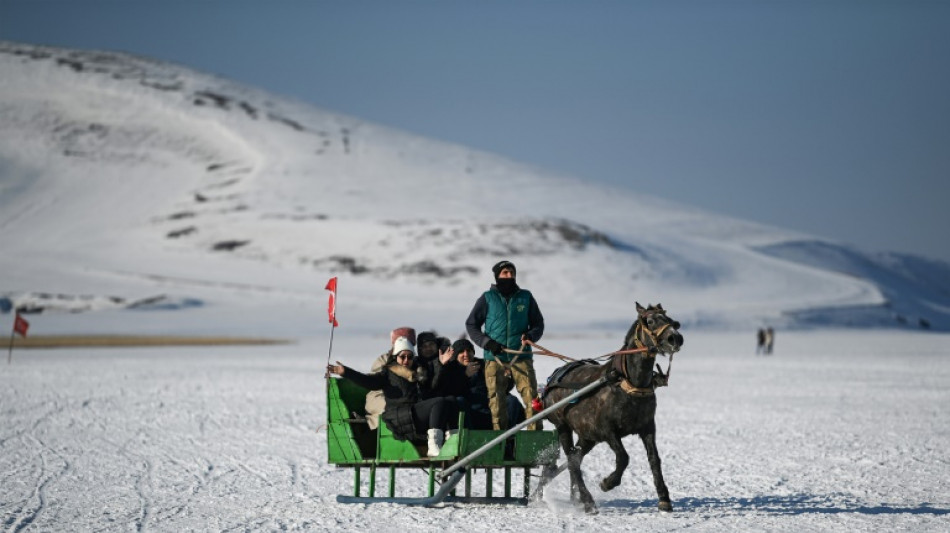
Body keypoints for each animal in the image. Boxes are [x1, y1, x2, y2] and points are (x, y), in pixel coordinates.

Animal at [544, 302, 684, 512]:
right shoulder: (607, 430)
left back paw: (571, 496)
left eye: (670, 320)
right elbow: (624, 457)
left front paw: (664, 498)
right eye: (650, 320)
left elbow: (654, 459)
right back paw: (587, 501)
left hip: (587, 436)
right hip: (563, 427)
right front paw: (607, 483)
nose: (675, 337)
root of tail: (554, 377)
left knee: (575, 459)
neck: (626, 383)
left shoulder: (648, 427)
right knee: (572, 461)